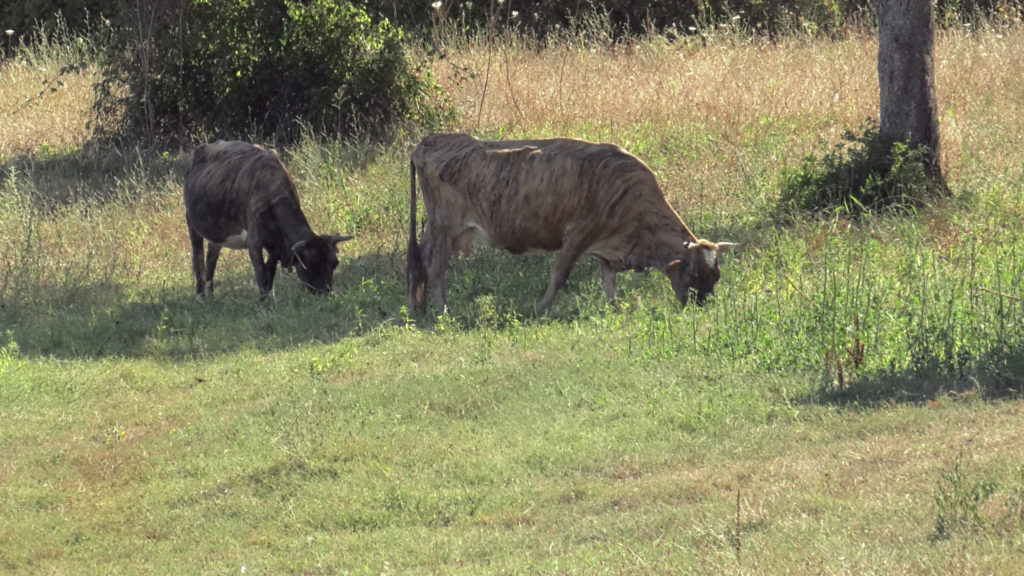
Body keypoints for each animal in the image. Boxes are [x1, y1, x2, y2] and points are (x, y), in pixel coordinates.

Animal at [186, 140, 354, 301]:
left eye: (335, 263)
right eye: (310, 264)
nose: (326, 293)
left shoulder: (276, 245)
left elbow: (270, 271)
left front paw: (270, 297)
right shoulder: (254, 241)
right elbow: (260, 271)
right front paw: (264, 302)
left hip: (217, 232)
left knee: (211, 258)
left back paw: (211, 295)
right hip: (191, 222)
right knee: (198, 258)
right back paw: (200, 296)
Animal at [403, 133, 733, 315]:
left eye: (715, 275)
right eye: (695, 274)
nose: (704, 306)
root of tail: (433, 139)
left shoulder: (608, 249)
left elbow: (609, 281)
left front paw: (614, 308)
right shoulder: (578, 234)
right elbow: (559, 275)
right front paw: (540, 309)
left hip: (437, 227)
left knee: (419, 263)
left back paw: (418, 309)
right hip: (445, 225)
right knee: (436, 267)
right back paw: (443, 311)